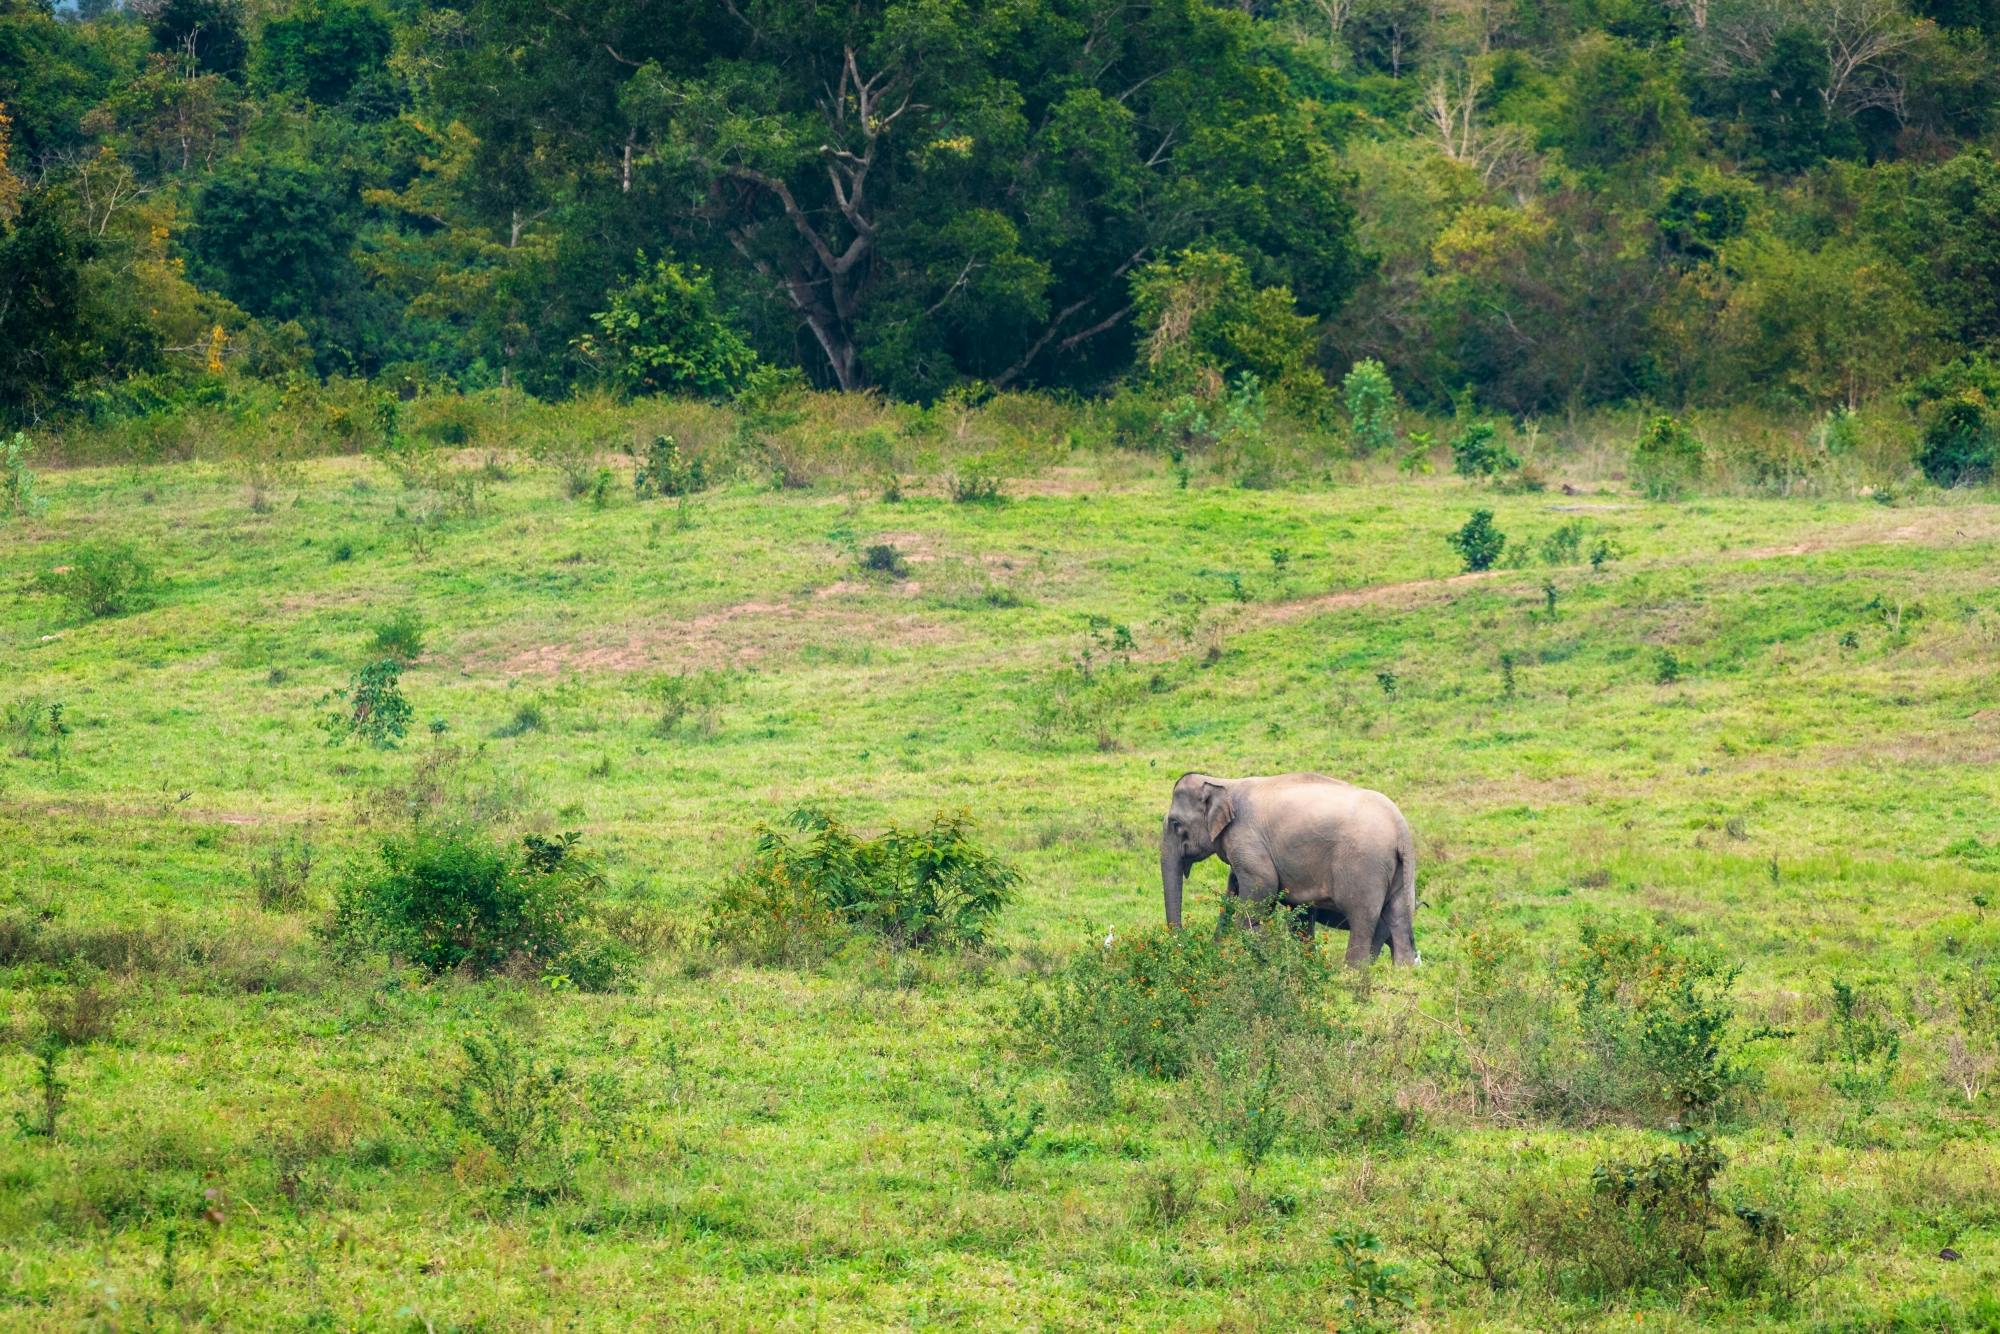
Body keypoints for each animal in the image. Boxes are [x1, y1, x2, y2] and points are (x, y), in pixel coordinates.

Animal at [1160, 772, 1424, 972]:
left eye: (1175, 824)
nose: (1182, 943)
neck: (1223, 781)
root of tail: (1400, 828)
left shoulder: (1246, 838)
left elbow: (1263, 886)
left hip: (1363, 865)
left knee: (1363, 917)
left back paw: (1350, 974)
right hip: (1399, 872)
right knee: (1398, 917)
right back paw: (1402, 973)